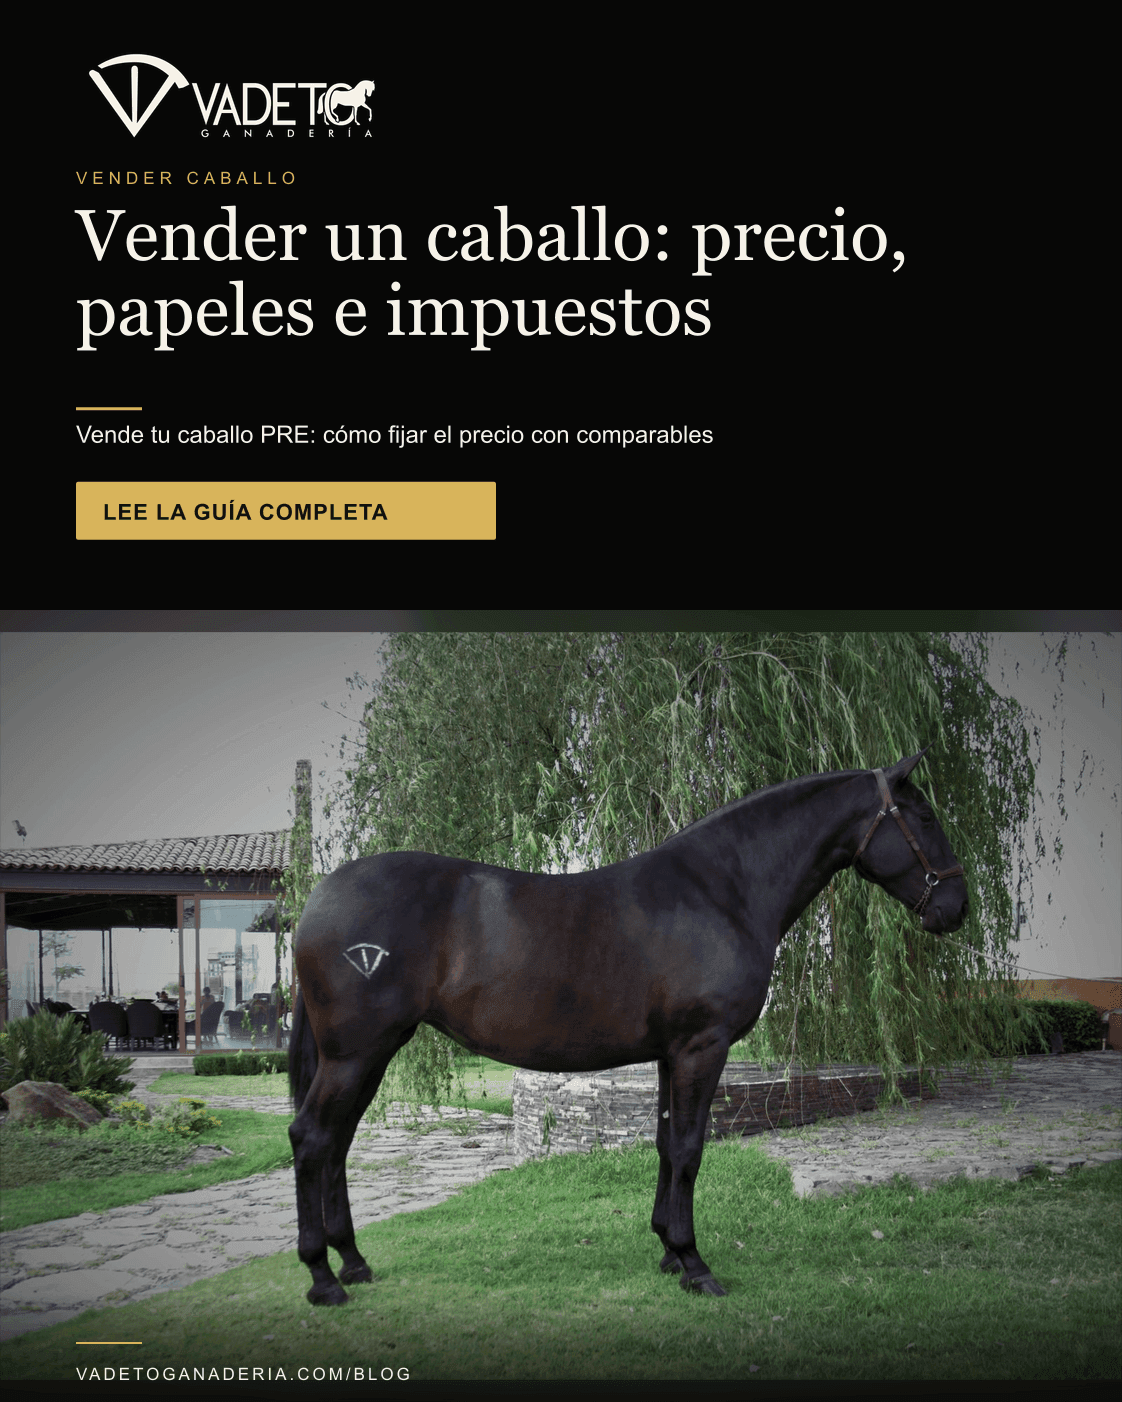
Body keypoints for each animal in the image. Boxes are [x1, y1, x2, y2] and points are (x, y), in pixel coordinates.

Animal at [288, 749, 967, 1304]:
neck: (723, 890)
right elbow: (691, 1149)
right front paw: (696, 1265)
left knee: (338, 1143)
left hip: (368, 1055)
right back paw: (323, 1280)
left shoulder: (672, 1052)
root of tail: (317, 901)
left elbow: (667, 1143)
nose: (956, 908)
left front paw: (668, 1251)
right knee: (312, 1138)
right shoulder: (701, 1047)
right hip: (356, 1053)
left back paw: (354, 1263)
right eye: (925, 816)